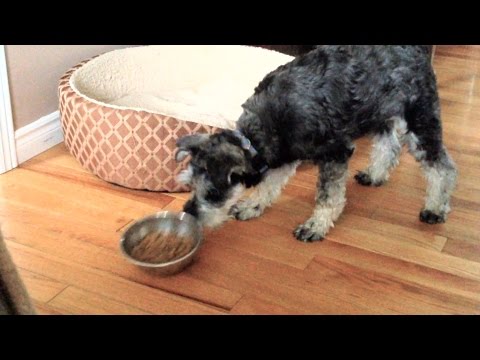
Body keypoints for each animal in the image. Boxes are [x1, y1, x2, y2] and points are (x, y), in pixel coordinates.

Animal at [175, 45, 458, 242]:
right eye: (190, 184)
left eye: (213, 193)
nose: (189, 212)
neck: (263, 127)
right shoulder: (282, 155)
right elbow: (269, 184)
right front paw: (252, 205)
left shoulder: (335, 152)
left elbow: (328, 196)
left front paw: (315, 225)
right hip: (377, 112)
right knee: (388, 145)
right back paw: (375, 175)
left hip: (420, 119)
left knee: (442, 167)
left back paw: (435, 208)